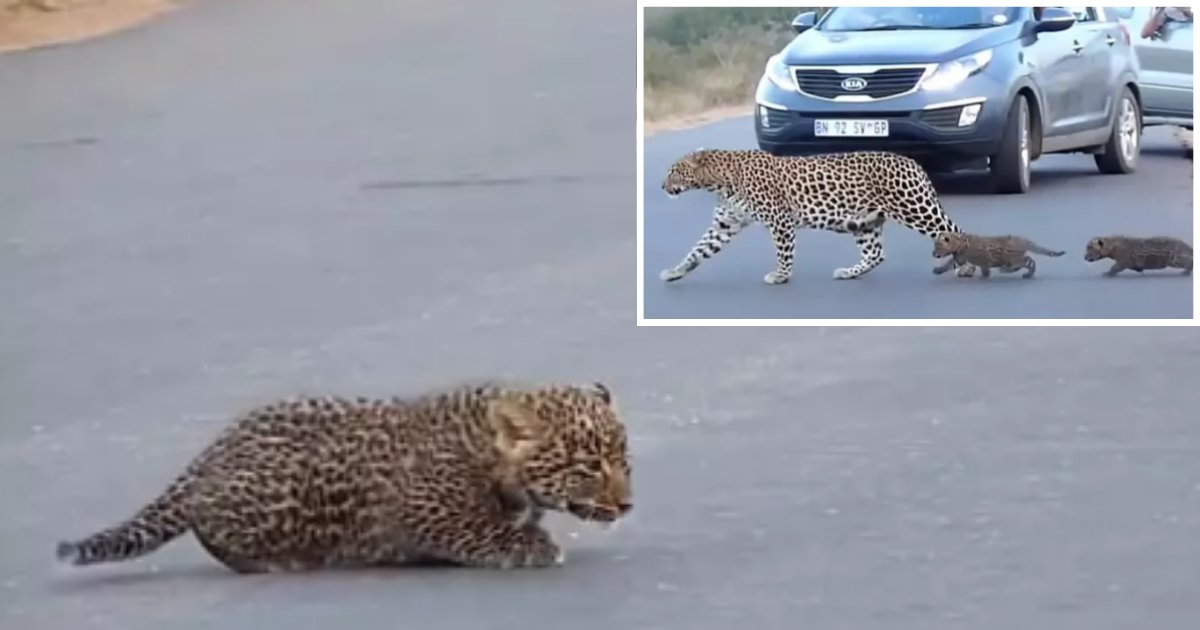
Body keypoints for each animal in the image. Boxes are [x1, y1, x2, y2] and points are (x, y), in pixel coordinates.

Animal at [54, 381, 638, 571]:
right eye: (590, 468)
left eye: (625, 462)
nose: (627, 506)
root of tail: (209, 453)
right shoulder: (423, 509)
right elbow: (477, 528)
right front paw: (531, 546)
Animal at [662, 148, 979, 280]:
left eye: (674, 171)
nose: (662, 186)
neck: (719, 181)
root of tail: (913, 162)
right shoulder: (725, 224)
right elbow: (698, 249)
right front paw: (676, 271)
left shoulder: (780, 221)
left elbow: (783, 252)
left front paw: (780, 276)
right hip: (864, 222)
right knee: (876, 254)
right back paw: (849, 273)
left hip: (916, 209)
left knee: (956, 232)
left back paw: (967, 268)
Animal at [931, 231, 1065, 278]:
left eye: (937, 246)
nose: (933, 253)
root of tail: (1023, 240)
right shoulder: (961, 259)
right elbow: (949, 264)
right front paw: (938, 270)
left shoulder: (980, 259)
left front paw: (985, 276)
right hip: (1014, 258)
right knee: (1029, 260)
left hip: (1013, 258)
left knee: (1027, 261)